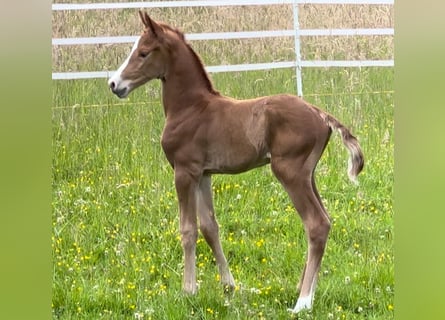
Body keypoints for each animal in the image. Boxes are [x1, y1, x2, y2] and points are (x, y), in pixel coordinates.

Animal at [107, 11, 360, 312]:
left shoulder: (184, 171)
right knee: (326, 221)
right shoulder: (203, 174)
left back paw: (303, 302)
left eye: (143, 53)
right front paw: (228, 286)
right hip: (308, 175)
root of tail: (319, 113)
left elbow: (188, 229)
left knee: (316, 224)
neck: (191, 108)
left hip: (289, 173)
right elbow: (210, 227)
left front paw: (188, 290)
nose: (114, 84)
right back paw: (304, 290)